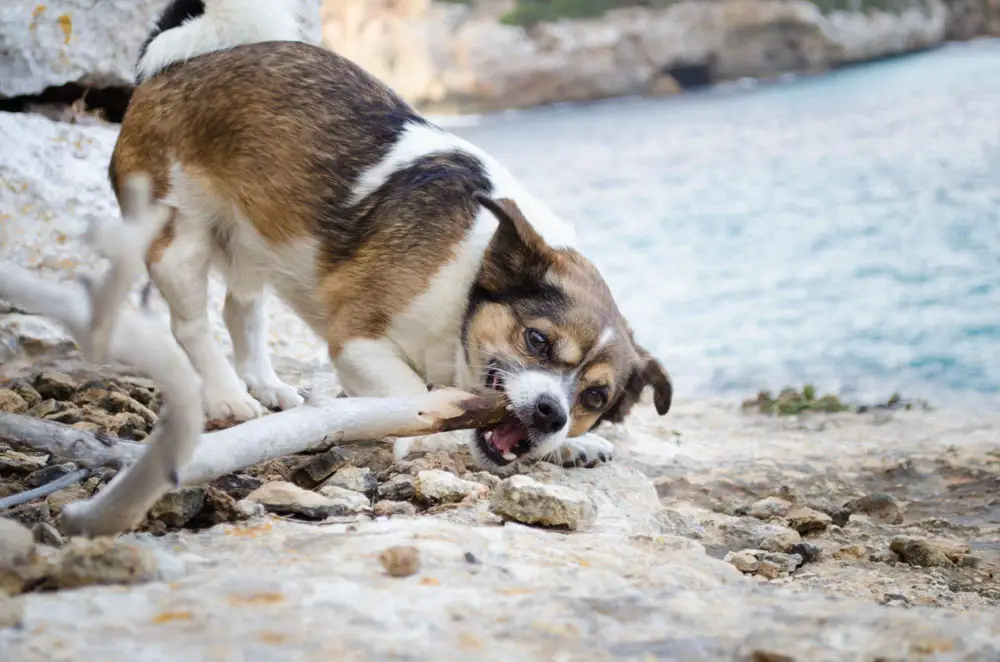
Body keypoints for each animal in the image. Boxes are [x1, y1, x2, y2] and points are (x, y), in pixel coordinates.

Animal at [109, 1, 672, 478]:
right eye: (537, 340)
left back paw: (265, 385)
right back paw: (227, 395)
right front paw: (429, 431)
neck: (465, 285)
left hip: (254, 239)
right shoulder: (358, 342)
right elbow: (409, 393)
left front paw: (574, 443)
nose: (553, 413)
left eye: (594, 398)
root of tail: (174, 63)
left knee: (241, 310)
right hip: (180, 239)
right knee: (190, 326)